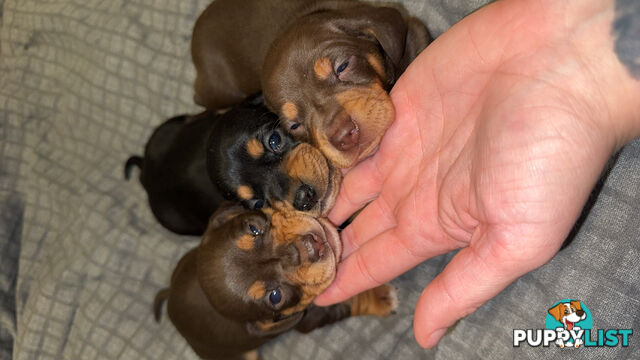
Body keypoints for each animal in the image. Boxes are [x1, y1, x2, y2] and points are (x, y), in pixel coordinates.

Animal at [155, 205, 396, 360]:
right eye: (275, 296)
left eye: (253, 228)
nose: (310, 247)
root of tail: (170, 296)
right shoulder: (307, 319)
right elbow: (345, 305)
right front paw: (380, 299)